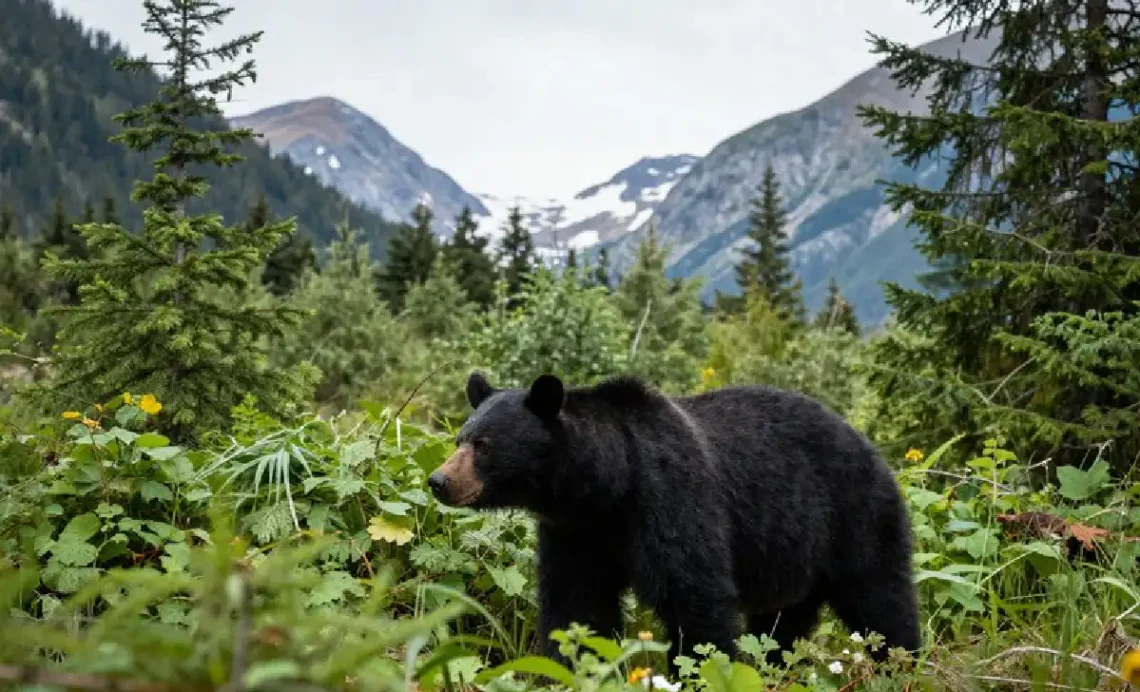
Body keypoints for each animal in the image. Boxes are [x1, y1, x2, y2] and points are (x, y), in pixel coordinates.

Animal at [428, 371, 921, 673]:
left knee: (882, 604)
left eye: (484, 445)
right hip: (795, 555)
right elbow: (575, 607)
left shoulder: (670, 500)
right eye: (460, 438)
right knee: (780, 626)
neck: (608, 488)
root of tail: (877, 453)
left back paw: (904, 663)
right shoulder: (575, 535)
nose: (439, 480)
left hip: (857, 520)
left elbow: (694, 598)